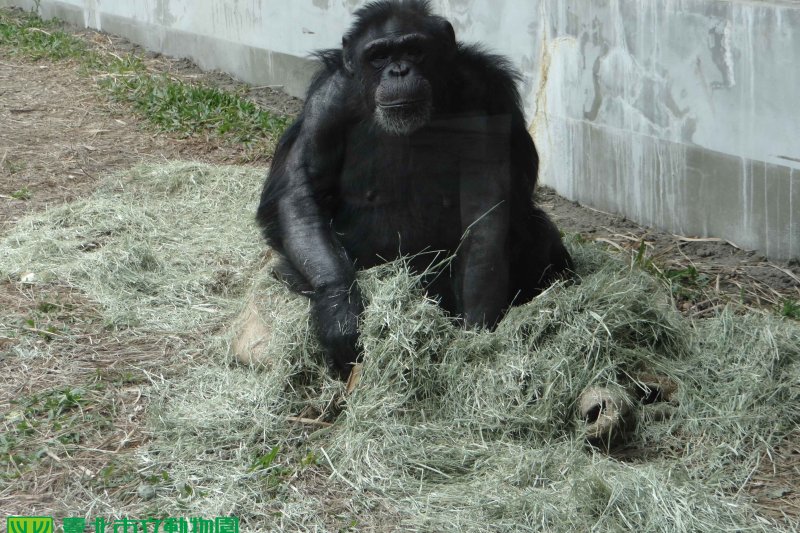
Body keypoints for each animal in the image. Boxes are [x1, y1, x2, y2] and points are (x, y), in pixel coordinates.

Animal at [260, 0, 572, 376]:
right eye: (379, 56)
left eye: (413, 50)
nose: (398, 71)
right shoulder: (326, 103)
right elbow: (302, 191)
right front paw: (340, 314)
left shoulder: (484, 93)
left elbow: (486, 211)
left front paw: (474, 340)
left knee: (538, 234)